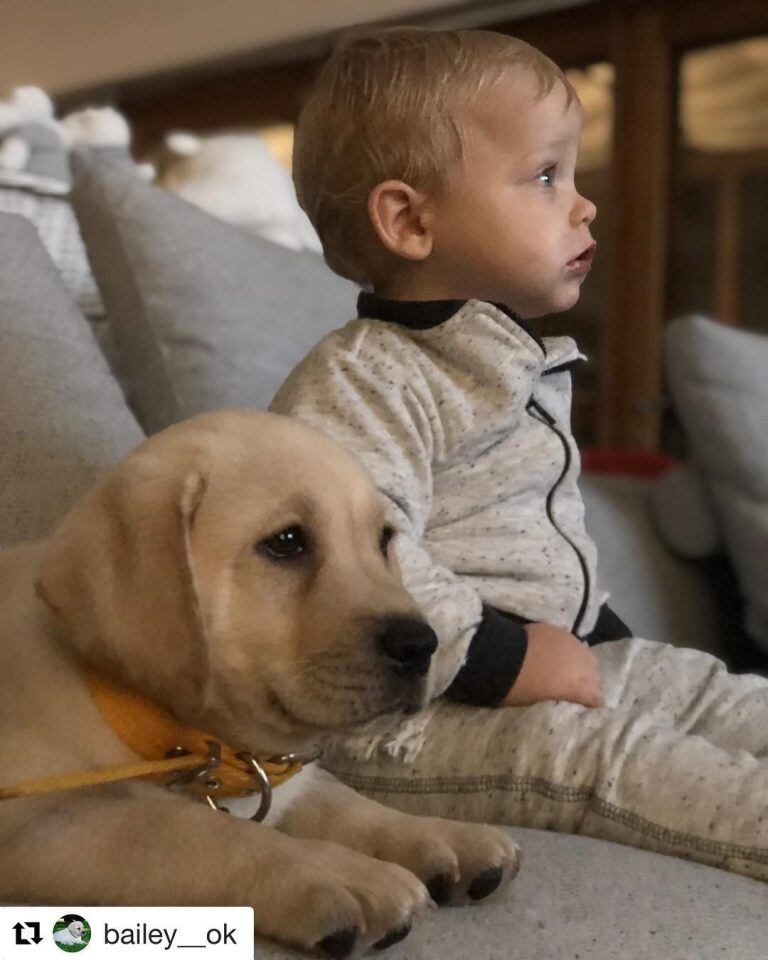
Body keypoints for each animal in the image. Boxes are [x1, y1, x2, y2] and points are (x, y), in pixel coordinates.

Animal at [0, 412, 520, 960]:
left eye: (383, 540)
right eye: (287, 542)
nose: (423, 645)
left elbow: (338, 799)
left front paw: (439, 836)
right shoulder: (33, 822)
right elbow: (189, 831)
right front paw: (338, 874)